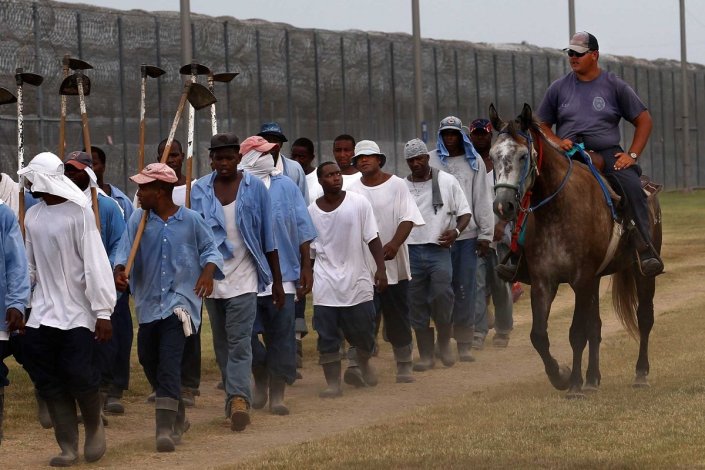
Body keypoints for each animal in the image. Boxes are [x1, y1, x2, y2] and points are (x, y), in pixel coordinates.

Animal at [484, 103, 660, 396]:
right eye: (492, 155)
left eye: (523, 155)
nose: (502, 205)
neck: (557, 210)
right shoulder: (545, 281)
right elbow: (539, 336)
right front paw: (562, 376)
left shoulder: (581, 278)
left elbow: (577, 333)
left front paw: (574, 384)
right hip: (596, 279)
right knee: (595, 326)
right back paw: (592, 379)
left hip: (641, 271)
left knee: (644, 317)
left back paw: (640, 374)